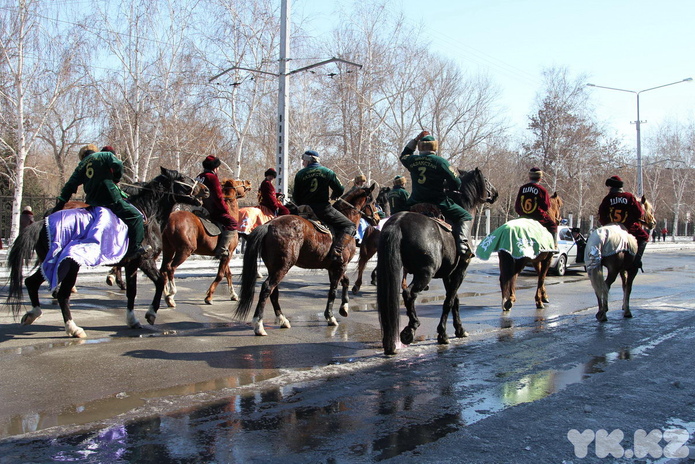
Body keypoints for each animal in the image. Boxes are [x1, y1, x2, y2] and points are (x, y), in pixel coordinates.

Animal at [4, 167, 209, 338]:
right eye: (182, 177)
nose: (205, 189)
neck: (147, 215)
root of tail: (42, 222)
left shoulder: (132, 264)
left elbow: (133, 291)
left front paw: (133, 319)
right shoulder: (145, 260)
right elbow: (160, 281)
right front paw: (151, 313)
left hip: (52, 265)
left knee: (31, 282)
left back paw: (33, 314)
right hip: (69, 267)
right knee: (62, 295)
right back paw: (73, 328)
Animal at [238, 183, 384, 336]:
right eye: (373, 202)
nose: (378, 219)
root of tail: (269, 224)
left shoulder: (334, 266)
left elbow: (345, 281)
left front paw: (344, 307)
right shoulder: (340, 266)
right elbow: (333, 290)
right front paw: (330, 316)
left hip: (274, 268)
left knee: (273, 293)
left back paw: (283, 320)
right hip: (282, 267)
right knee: (267, 289)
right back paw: (258, 325)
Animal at [378, 168, 498, 356]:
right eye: (485, 180)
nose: (495, 193)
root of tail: (398, 222)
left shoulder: (448, 274)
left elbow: (454, 300)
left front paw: (459, 330)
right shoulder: (460, 271)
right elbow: (448, 301)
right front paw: (443, 334)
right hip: (425, 273)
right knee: (409, 294)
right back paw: (409, 329)